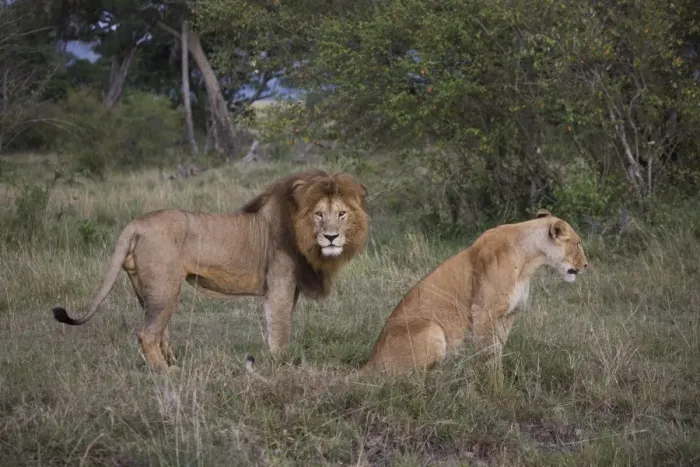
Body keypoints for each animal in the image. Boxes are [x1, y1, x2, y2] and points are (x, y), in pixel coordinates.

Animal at [52, 169, 370, 372]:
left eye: (341, 214)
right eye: (319, 214)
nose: (331, 237)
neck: (302, 233)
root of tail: (136, 223)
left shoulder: (289, 290)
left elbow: (279, 326)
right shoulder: (279, 285)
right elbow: (280, 328)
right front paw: (281, 365)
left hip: (147, 290)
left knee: (159, 331)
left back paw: (173, 363)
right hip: (165, 287)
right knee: (148, 334)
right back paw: (165, 373)